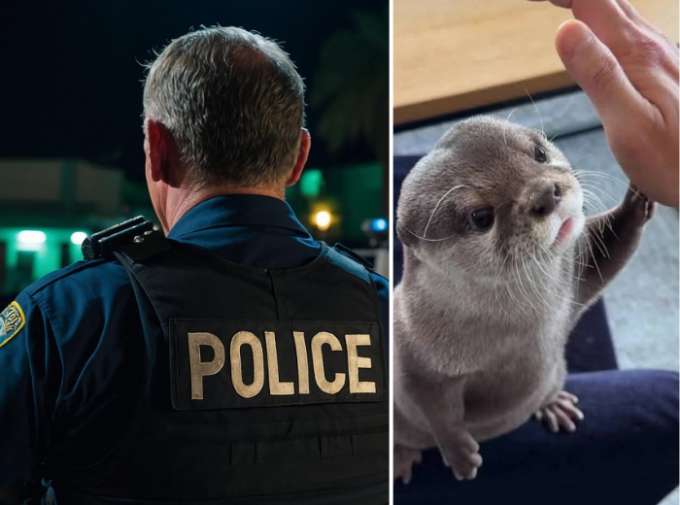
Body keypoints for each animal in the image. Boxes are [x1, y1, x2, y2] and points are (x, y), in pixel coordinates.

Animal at [393, 116, 654, 482]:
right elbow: (432, 407)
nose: (546, 193)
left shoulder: (575, 276)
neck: (517, 326)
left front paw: (638, 193)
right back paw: (401, 459)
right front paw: (459, 454)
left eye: (539, 153)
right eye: (480, 217)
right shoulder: (411, 350)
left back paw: (553, 404)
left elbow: (610, 250)